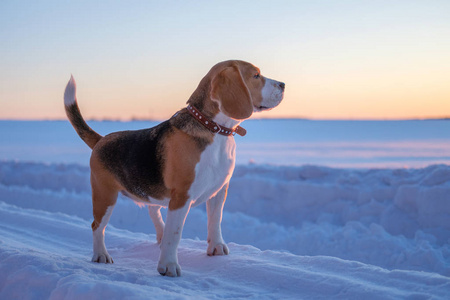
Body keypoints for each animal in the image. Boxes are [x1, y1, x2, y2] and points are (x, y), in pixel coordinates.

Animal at [63, 59, 284, 276]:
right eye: (256, 75)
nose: (283, 84)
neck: (213, 128)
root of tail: (101, 140)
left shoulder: (219, 189)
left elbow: (215, 220)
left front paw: (216, 247)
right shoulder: (182, 196)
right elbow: (175, 233)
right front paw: (168, 266)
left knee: (153, 211)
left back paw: (159, 237)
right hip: (105, 196)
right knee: (97, 226)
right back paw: (101, 254)